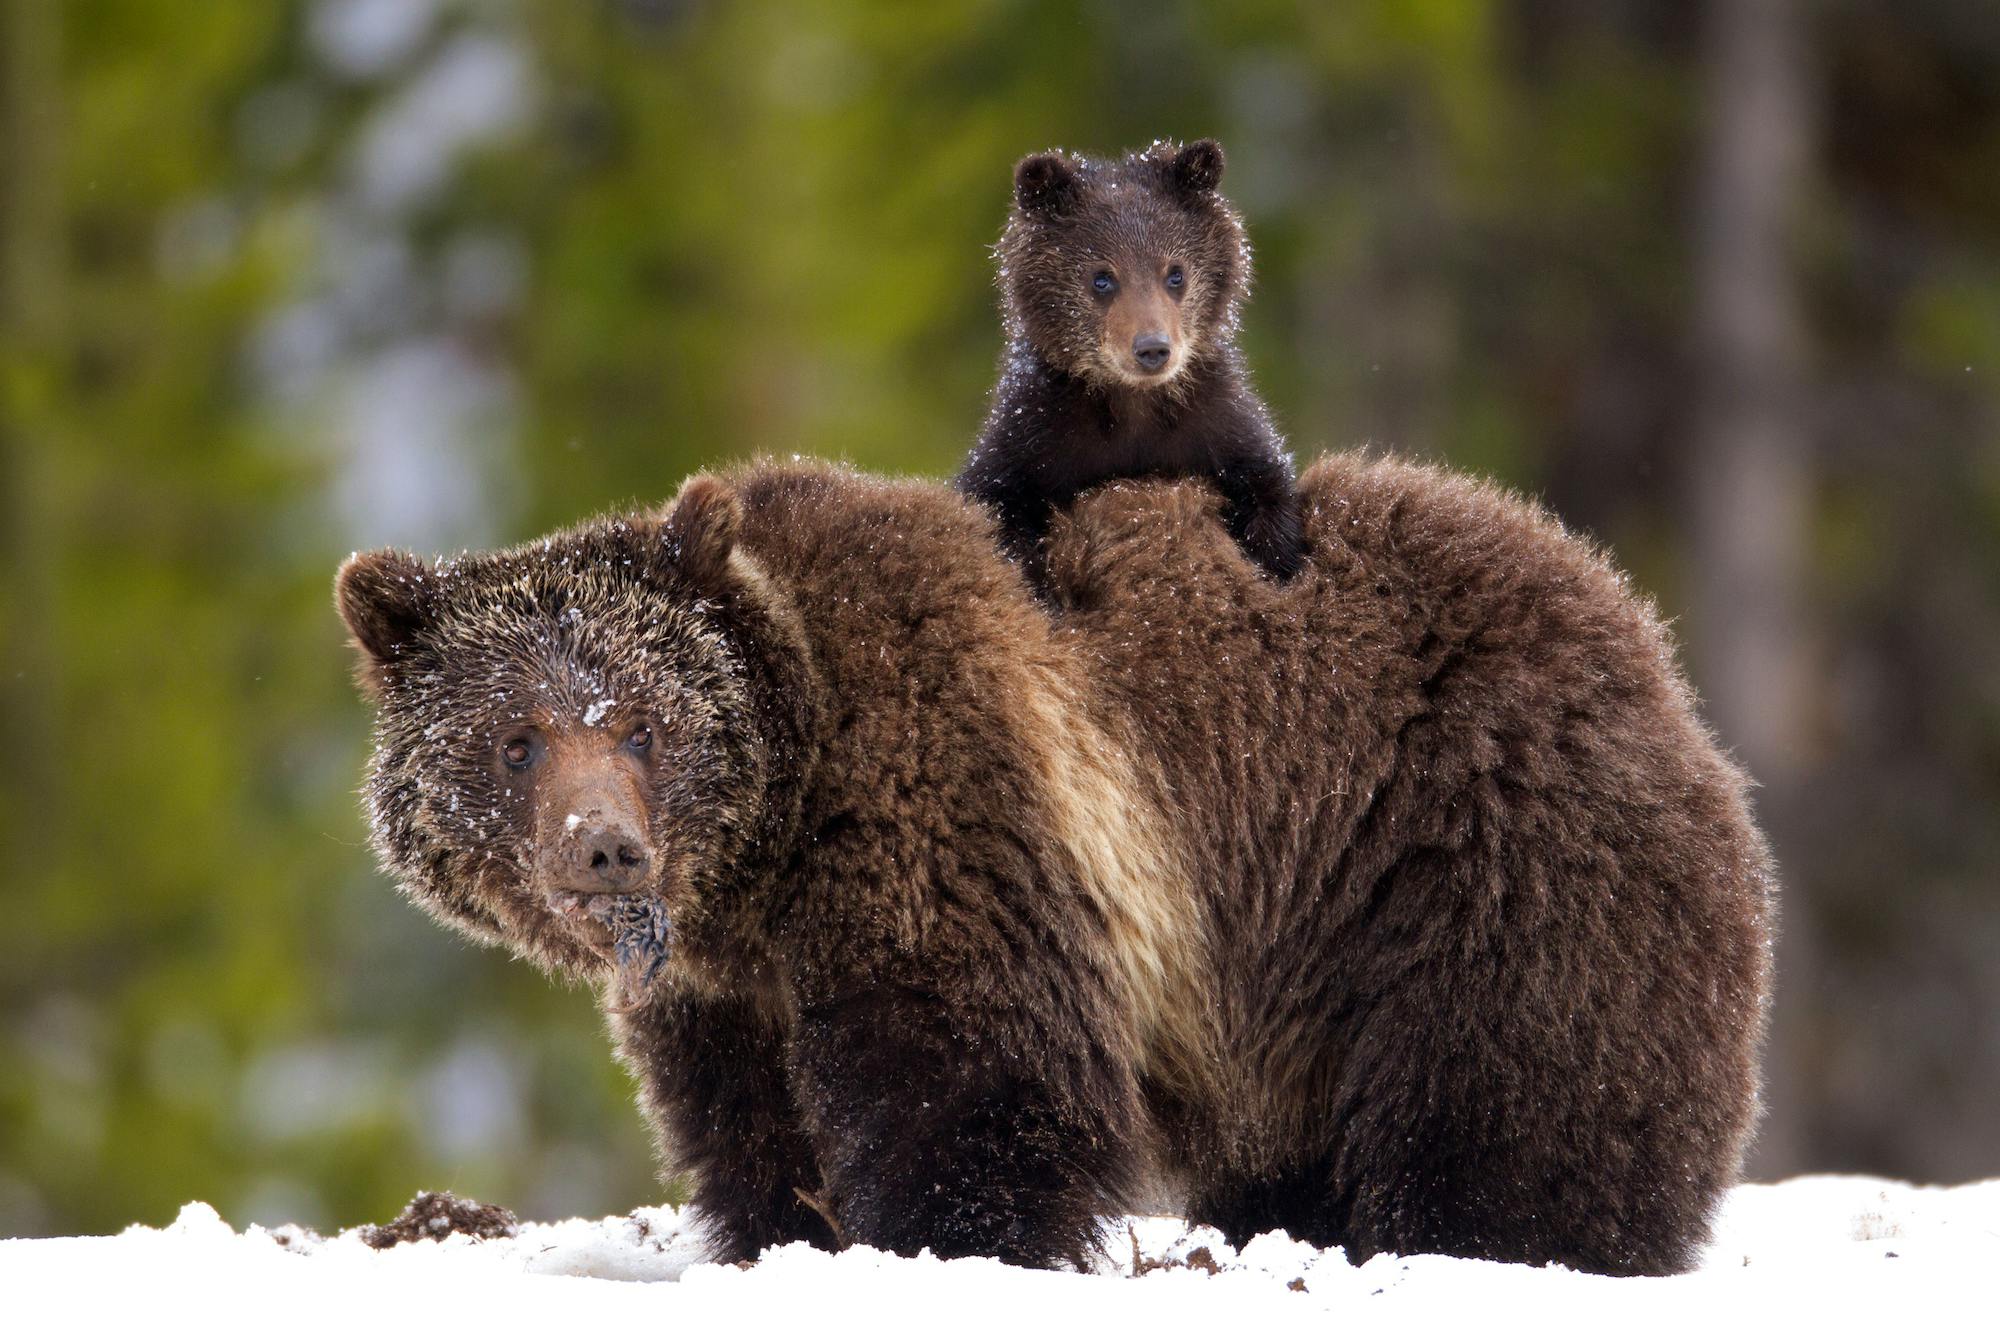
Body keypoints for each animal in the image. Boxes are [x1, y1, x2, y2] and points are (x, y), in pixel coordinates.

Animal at [336, 460, 1776, 1280]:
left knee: (1523, 1094)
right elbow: (750, 1125)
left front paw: (941, 1241)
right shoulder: (724, 988)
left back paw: (1510, 1242)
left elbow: (966, 1077)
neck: (763, 856)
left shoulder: (948, 801)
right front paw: (782, 1236)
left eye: (638, 720)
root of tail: (1635, 628)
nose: (607, 846)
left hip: (1467, 852)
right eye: (515, 736)